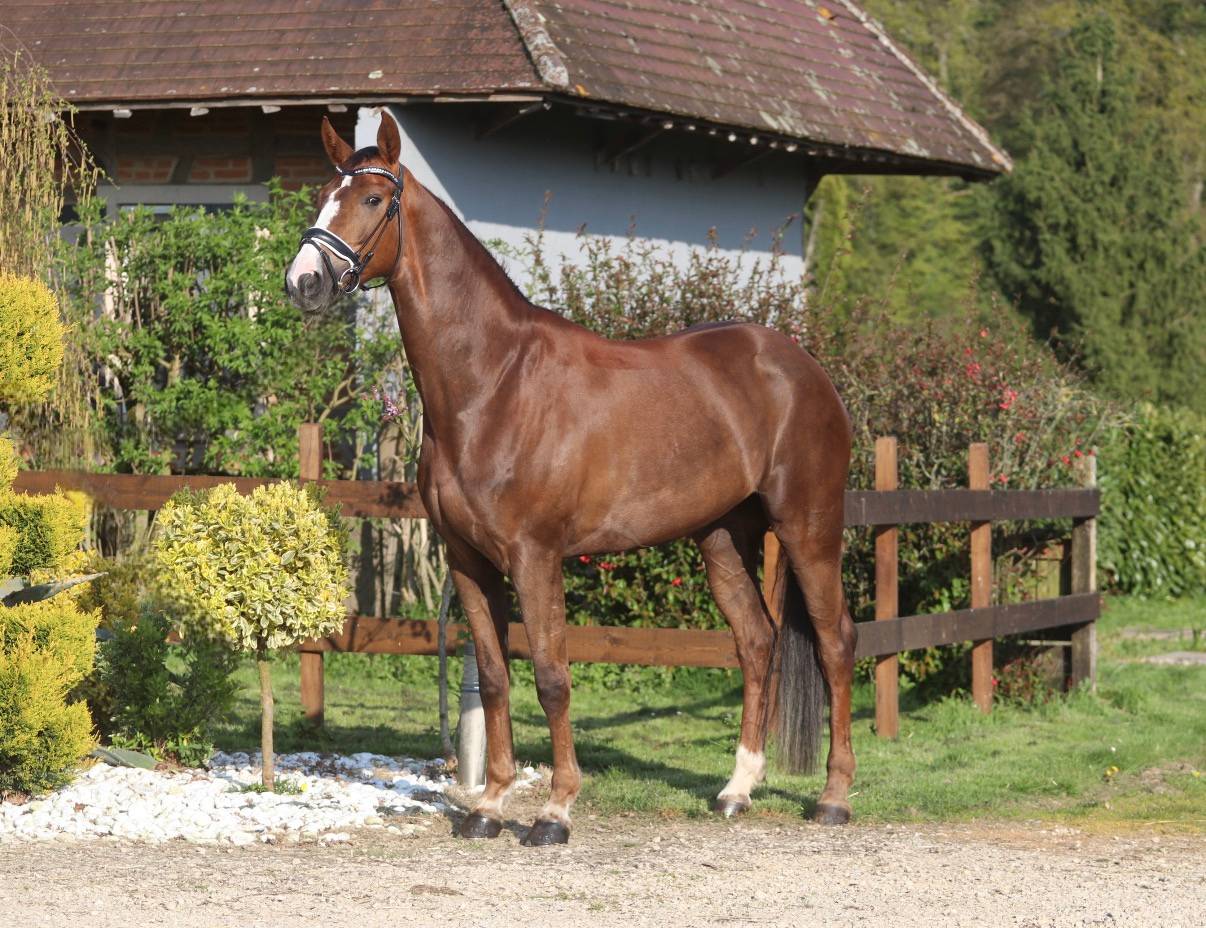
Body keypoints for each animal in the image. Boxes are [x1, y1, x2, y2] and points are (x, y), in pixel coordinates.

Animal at [286, 115, 857, 846]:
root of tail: (802, 365)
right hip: (722, 538)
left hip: (809, 528)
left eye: (373, 200)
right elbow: (495, 678)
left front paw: (554, 813)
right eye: (323, 194)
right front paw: (489, 807)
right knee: (757, 642)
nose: (304, 282)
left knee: (835, 644)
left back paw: (833, 797)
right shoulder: (468, 560)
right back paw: (737, 790)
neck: (494, 382)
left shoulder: (536, 558)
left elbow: (552, 677)